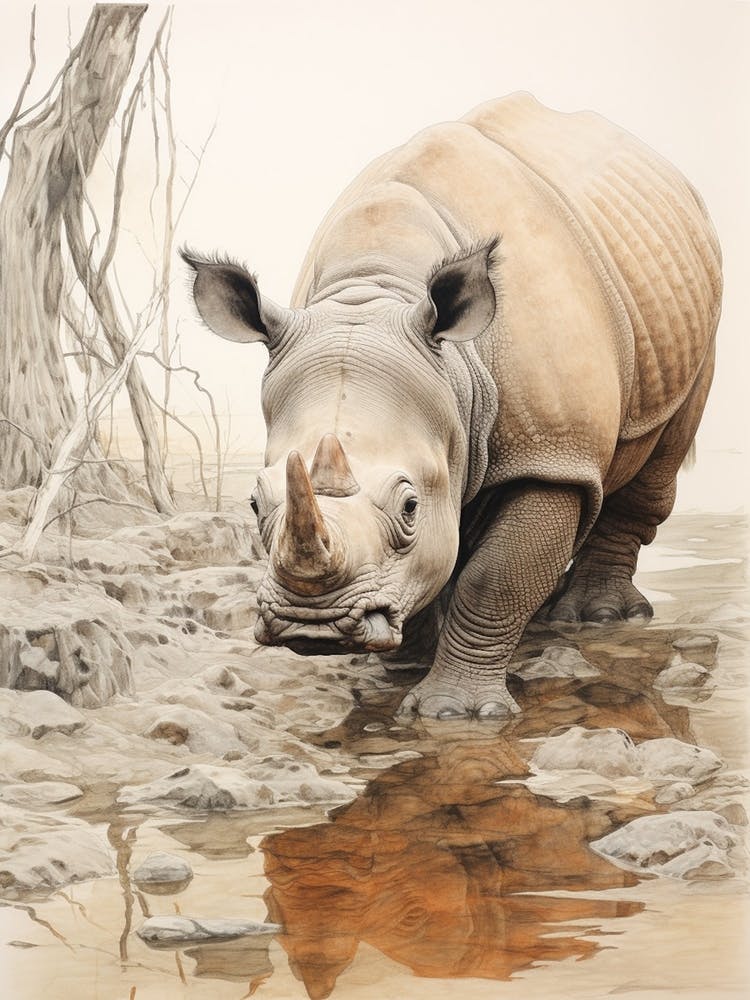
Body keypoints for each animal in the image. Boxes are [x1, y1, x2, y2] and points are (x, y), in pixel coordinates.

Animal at [183, 93, 722, 720]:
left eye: (410, 506)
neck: (375, 291)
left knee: (660, 452)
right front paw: (400, 668)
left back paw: (594, 618)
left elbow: (495, 576)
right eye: (252, 503)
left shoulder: (552, 454)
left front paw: (454, 712)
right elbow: (436, 564)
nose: (310, 626)